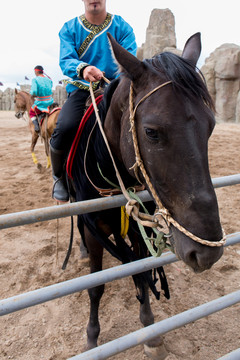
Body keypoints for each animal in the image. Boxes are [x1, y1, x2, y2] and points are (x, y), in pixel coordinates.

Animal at [68, 32, 224, 358]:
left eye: (211, 126)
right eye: (152, 131)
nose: (206, 252)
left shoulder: (139, 226)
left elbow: (140, 272)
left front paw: (150, 332)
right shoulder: (95, 229)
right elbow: (95, 286)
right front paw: (92, 336)